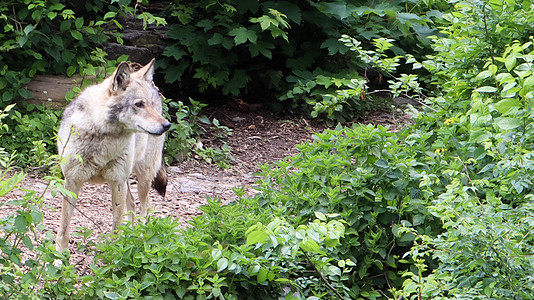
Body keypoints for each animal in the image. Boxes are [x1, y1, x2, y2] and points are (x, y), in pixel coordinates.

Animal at [56, 59, 170, 253]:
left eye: (151, 105)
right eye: (139, 104)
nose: (167, 125)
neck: (102, 136)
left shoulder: (116, 183)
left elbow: (116, 226)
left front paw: (116, 254)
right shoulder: (71, 182)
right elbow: (64, 227)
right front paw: (58, 257)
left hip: (142, 177)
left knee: (145, 208)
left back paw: (141, 237)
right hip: (127, 180)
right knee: (132, 204)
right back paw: (130, 236)